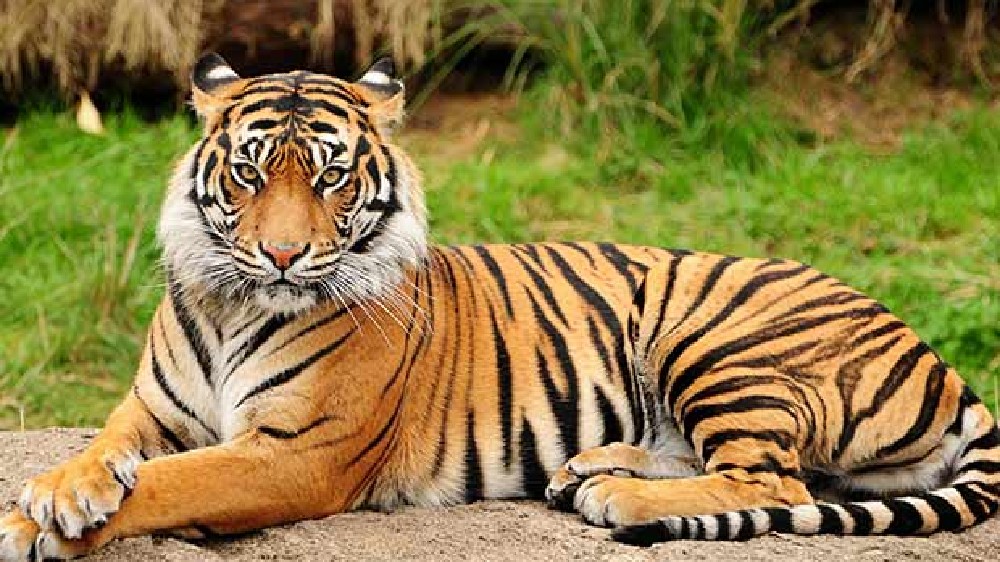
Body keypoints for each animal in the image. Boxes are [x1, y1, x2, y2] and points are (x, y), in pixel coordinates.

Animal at [1, 52, 998, 560]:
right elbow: (109, 452)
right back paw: (588, 470)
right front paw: (58, 491)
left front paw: (35, 522)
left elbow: (173, 483)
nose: (282, 255)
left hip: (714, 337)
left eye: (328, 176)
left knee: (775, 481)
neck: (231, 302)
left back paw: (617, 499)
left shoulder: (294, 453)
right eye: (249, 172)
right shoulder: (152, 409)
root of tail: (941, 361)